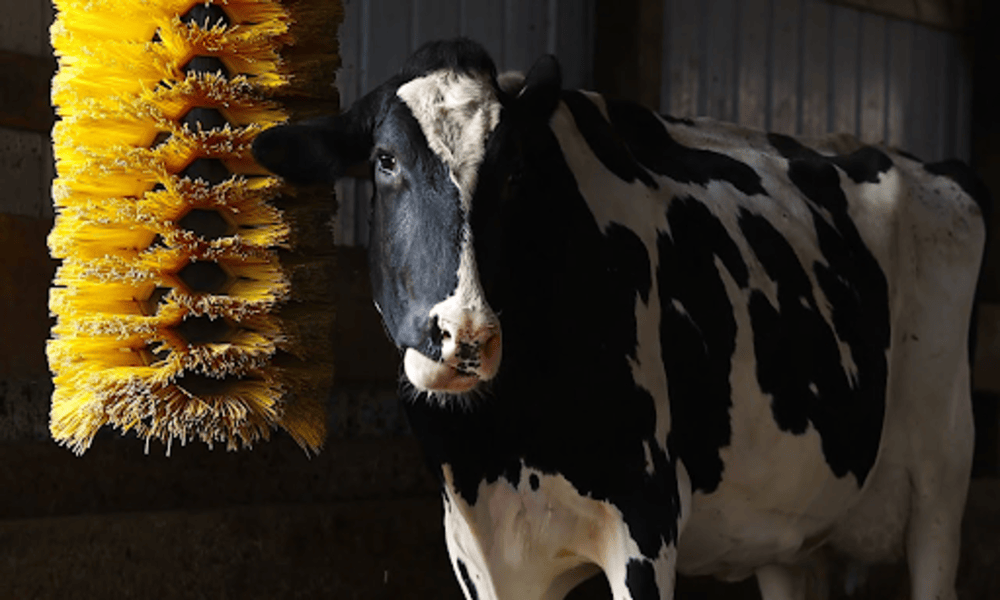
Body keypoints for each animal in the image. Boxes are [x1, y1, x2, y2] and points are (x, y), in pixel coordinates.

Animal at [252, 38, 989, 600]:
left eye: (515, 171)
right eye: (385, 161)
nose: (465, 335)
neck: (501, 444)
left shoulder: (645, 523)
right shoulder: (479, 552)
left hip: (942, 484)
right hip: (791, 525)